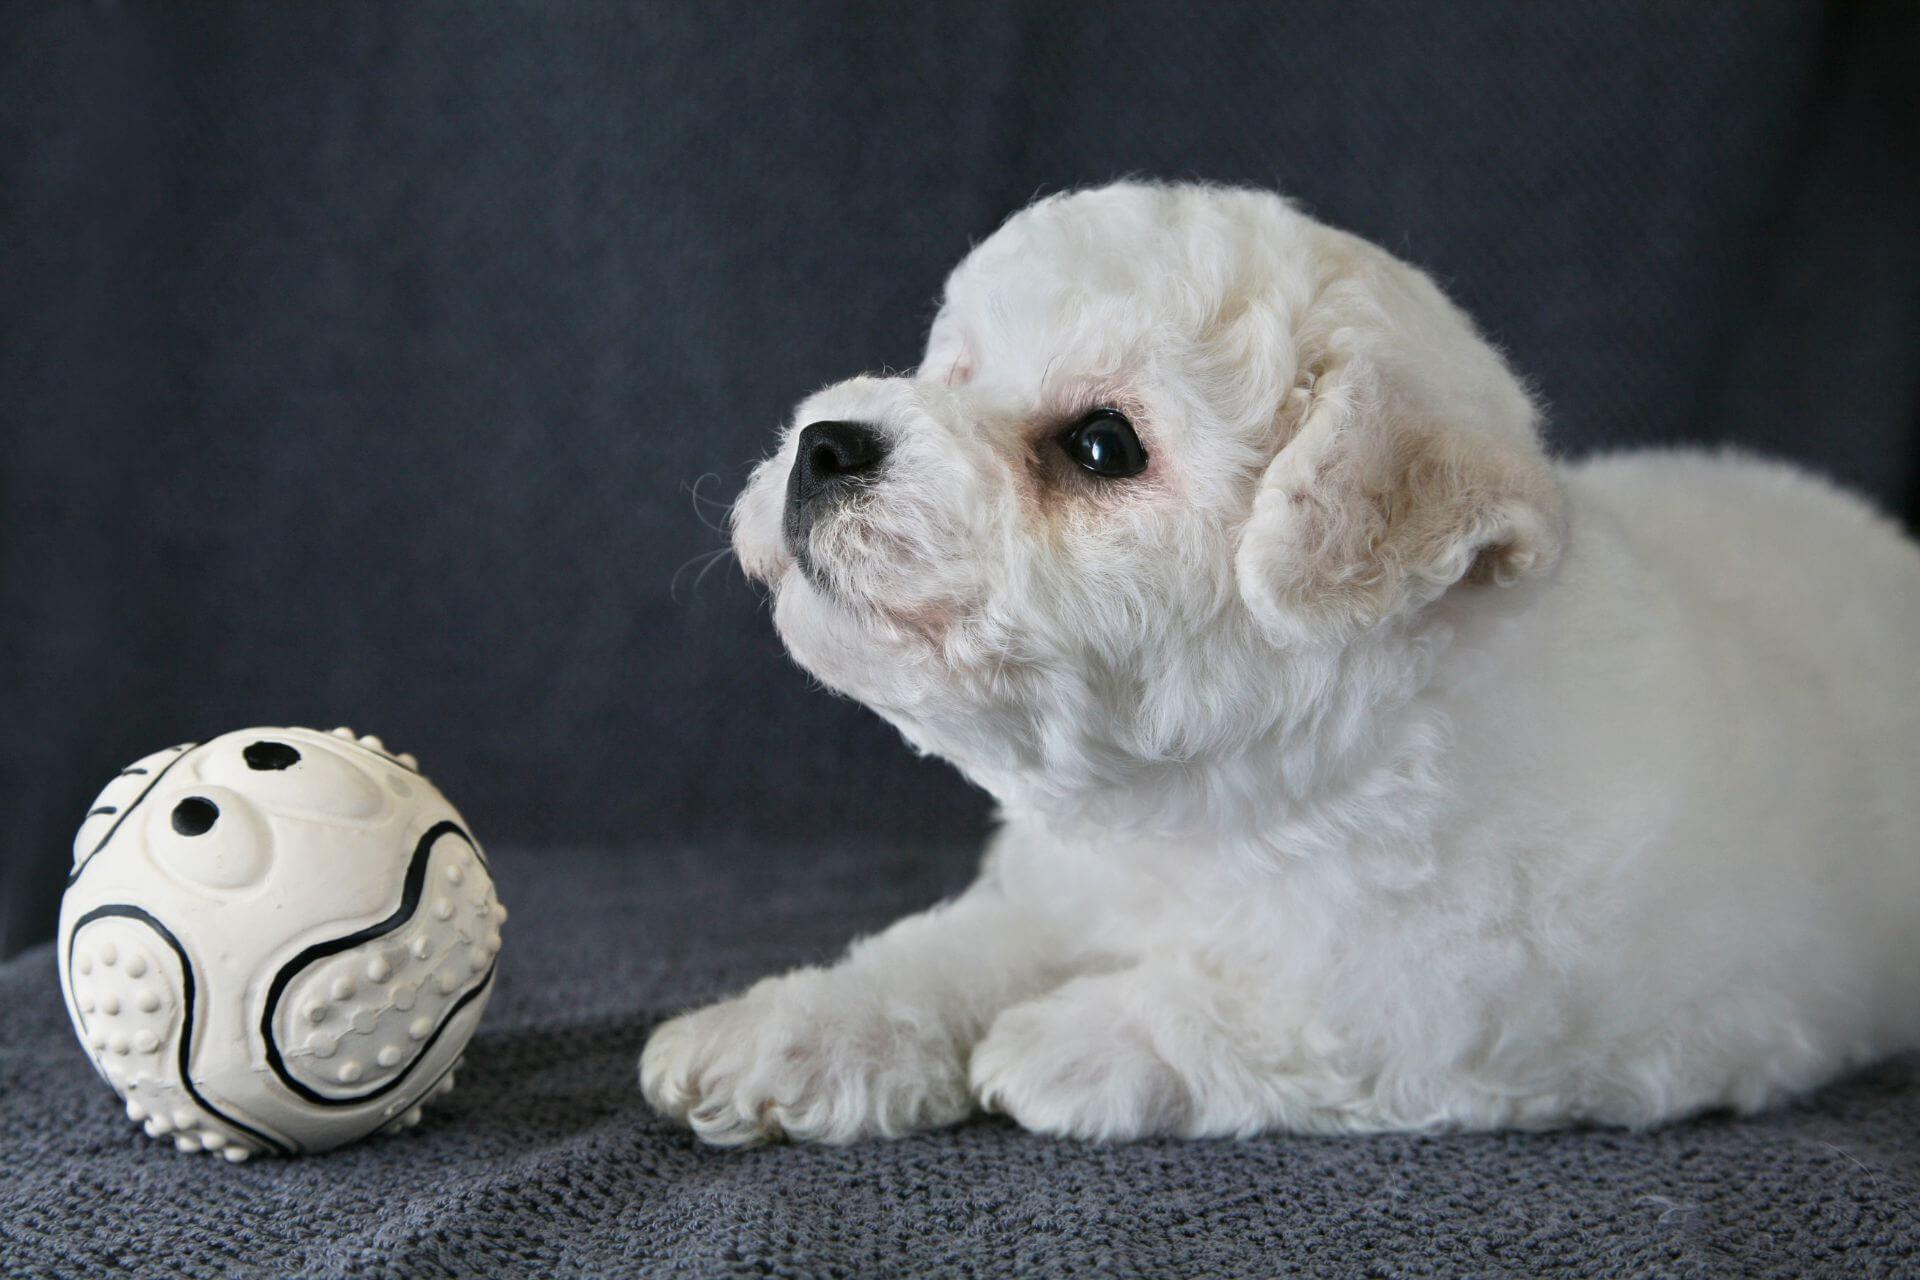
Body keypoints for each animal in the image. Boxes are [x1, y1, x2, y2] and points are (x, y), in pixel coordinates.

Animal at [645, 177, 1920, 1143]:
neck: (1210, 807)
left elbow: (1298, 999)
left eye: (1101, 446)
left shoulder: (1482, 988)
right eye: (948, 371)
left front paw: (1080, 1034)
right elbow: (947, 949)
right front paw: (788, 1029)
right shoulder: (1068, 879)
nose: (826, 444)